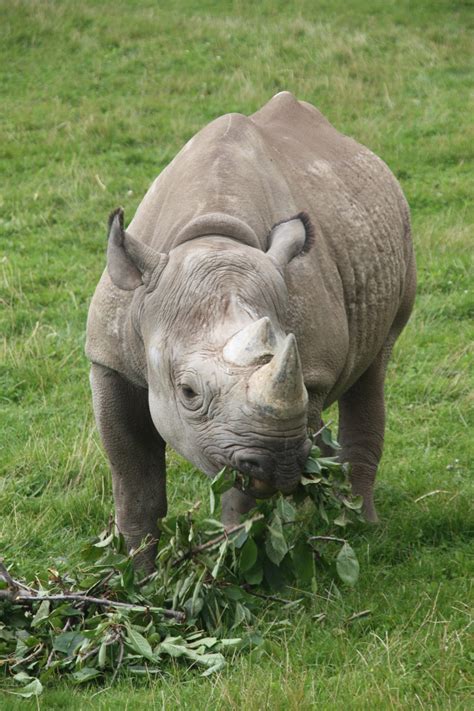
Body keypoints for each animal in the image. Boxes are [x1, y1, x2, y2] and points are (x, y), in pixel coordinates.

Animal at [85, 92, 414, 572]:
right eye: (187, 393)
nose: (278, 463)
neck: (211, 236)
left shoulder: (301, 381)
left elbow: (239, 498)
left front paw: (230, 564)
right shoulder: (109, 359)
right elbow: (133, 477)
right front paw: (137, 574)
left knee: (374, 367)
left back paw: (359, 527)